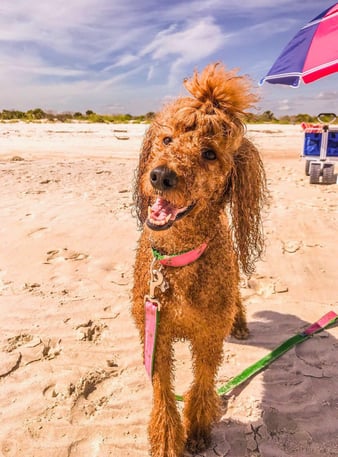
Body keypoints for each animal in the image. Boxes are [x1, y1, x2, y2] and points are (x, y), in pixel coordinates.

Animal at [132, 63, 266, 456]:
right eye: (167, 141)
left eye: (209, 153)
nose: (161, 175)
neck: (177, 259)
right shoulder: (155, 334)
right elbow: (162, 393)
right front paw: (166, 439)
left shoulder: (208, 335)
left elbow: (203, 385)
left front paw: (198, 430)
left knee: (237, 297)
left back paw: (240, 323)